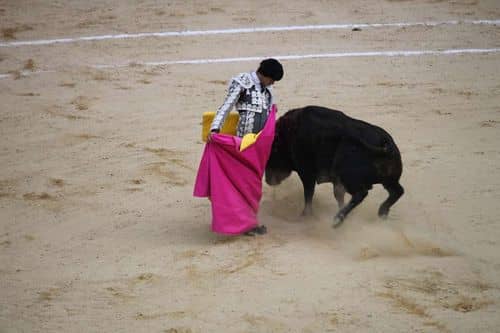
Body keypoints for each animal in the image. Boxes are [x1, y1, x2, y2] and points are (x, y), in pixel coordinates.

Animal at [264, 105, 404, 227]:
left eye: (272, 154)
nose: (268, 180)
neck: (289, 133)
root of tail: (385, 143)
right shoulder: (335, 182)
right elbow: (338, 196)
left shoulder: (307, 174)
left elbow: (308, 194)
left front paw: (305, 215)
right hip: (388, 180)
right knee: (397, 191)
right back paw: (382, 212)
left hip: (348, 177)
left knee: (361, 193)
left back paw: (337, 220)